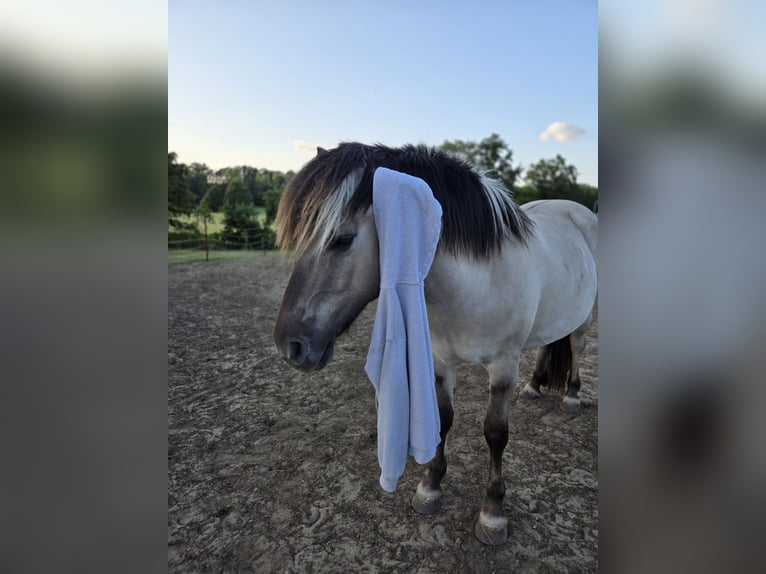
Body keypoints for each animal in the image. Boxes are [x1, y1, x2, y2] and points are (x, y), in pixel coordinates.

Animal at [273, 142, 598, 545]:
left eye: (342, 240)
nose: (289, 346)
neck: (478, 280)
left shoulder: (504, 366)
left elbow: (495, 433)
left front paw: (493, 513)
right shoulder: (442, 362)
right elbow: (443, 420)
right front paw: (430, 487)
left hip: (584, 318)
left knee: (577, 346)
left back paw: (572, 395)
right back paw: (535, 386)